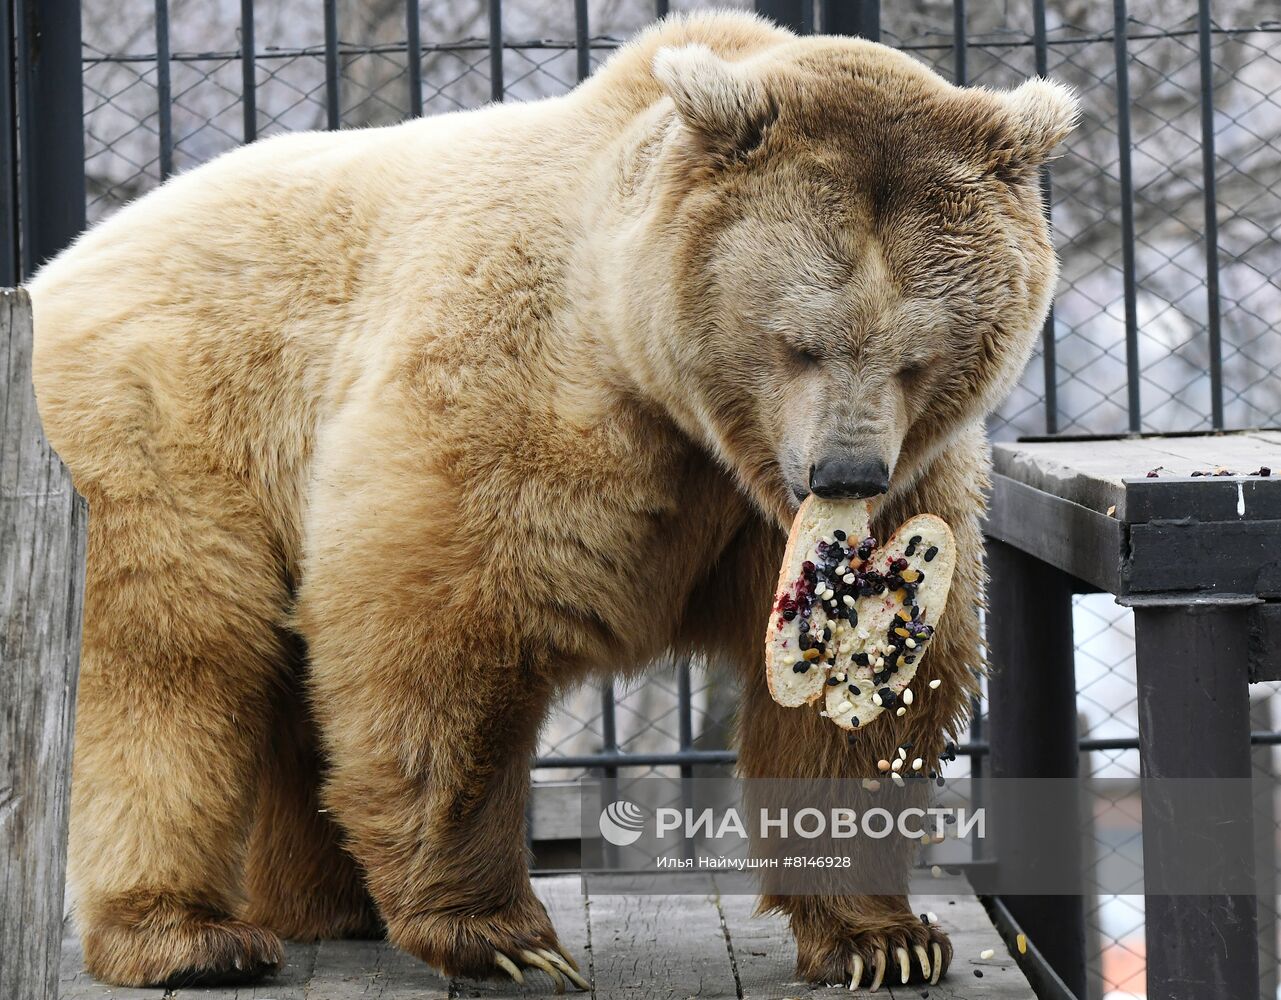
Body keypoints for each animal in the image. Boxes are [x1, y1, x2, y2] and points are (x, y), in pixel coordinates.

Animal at [27, 9, 1070, 988]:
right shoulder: (530, 392)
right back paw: (185, 931)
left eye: (917, 358)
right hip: (164, 427)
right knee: (175, 655)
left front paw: (884, 938)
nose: (845, 473)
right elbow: (444, 635)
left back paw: (324, 903)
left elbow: (860, 694)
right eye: (798, 343)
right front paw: (499, 934)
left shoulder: (880, 492)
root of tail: (58, 267)